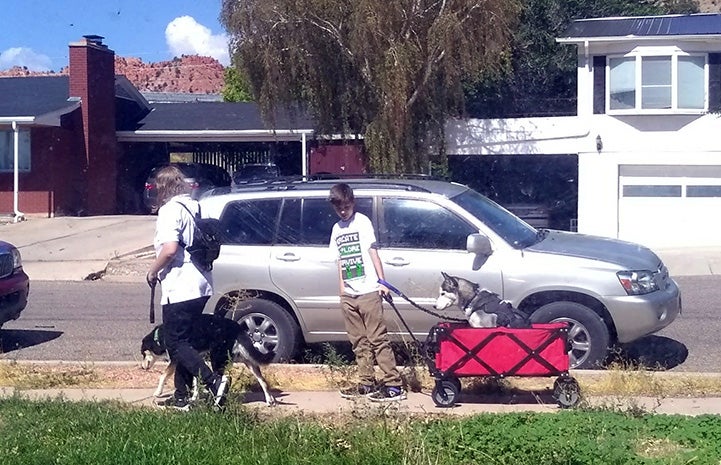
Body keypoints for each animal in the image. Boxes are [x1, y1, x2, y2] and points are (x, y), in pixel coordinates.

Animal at [140, 312, 276, 406]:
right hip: (245, 359)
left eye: (143, 354)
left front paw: (158, 392)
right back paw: (270, 400)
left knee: (221, 378)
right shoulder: (195, 358)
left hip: (217, 358)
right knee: (262, 380)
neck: (159, 336)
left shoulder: (176, 360)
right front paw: (194, 397)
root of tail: (237, 327)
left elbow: (163, 376)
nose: (141, 367)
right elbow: (196, 380)